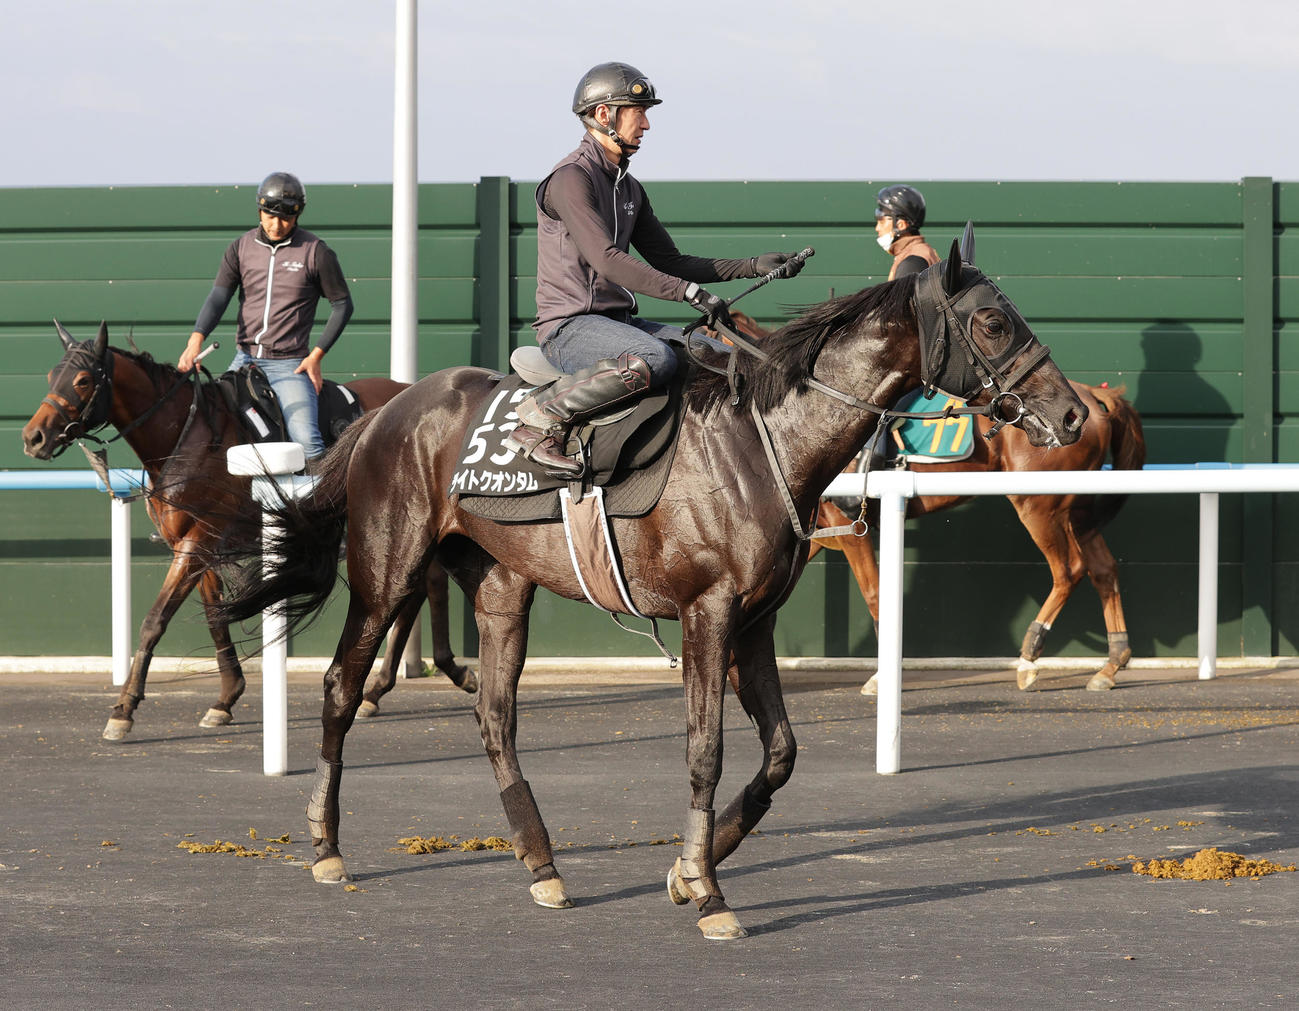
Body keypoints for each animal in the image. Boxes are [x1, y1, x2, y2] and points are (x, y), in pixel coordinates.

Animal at [20, 321, 475, 742]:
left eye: (82, 379)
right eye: (52, 376)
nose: (33, 436)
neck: (188, 439)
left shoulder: (197, 543)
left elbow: (155, 621)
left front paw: (124, 709)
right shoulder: (196, 548)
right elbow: (213, 617)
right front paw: (225, 698)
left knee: (424, 590)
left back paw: (428, 675)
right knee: (424, 589)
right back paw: (387, 687)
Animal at [214, 236, 1088, 939]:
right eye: (992, 322)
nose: (1073, 413)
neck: (763, 440)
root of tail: (392, 406)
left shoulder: (754, 623)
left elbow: (780, 753)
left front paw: (687, 868)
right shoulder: (710, 613)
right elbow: (706, 749)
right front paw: (708, 892)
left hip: (502, 587)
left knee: (495, 717)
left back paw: (542, 863)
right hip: (388, 570)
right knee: (339, 685)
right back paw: (326, 846)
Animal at [723, 313, 1147, 693]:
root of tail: (1093, 396)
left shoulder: (850, 526)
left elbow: (875, 594)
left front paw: (881, 677)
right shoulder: (817, 529)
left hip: (1039, 506)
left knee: (1069, 570)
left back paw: (1030, 657)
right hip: (1077, 510)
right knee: (1103, 569)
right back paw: (1111, 664)